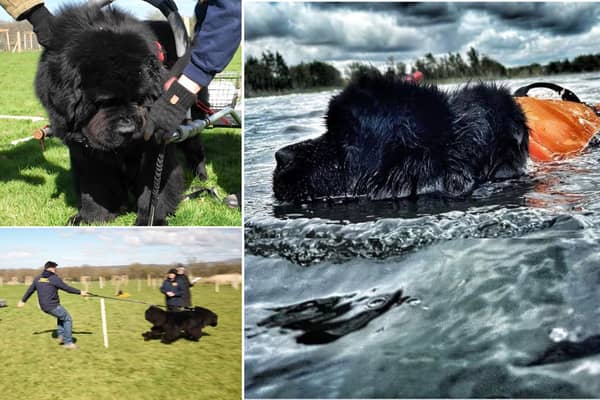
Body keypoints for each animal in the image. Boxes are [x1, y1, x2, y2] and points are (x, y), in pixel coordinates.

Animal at [37, 4, 206, 225]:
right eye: (103, 102)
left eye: (138, 98)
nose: (128, 129)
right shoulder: (84, 149)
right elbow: (95, 186)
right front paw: (92, 217)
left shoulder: (153, 143)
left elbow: (154, 185)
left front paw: (151, 219)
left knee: (194, 145)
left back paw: (202, 175)